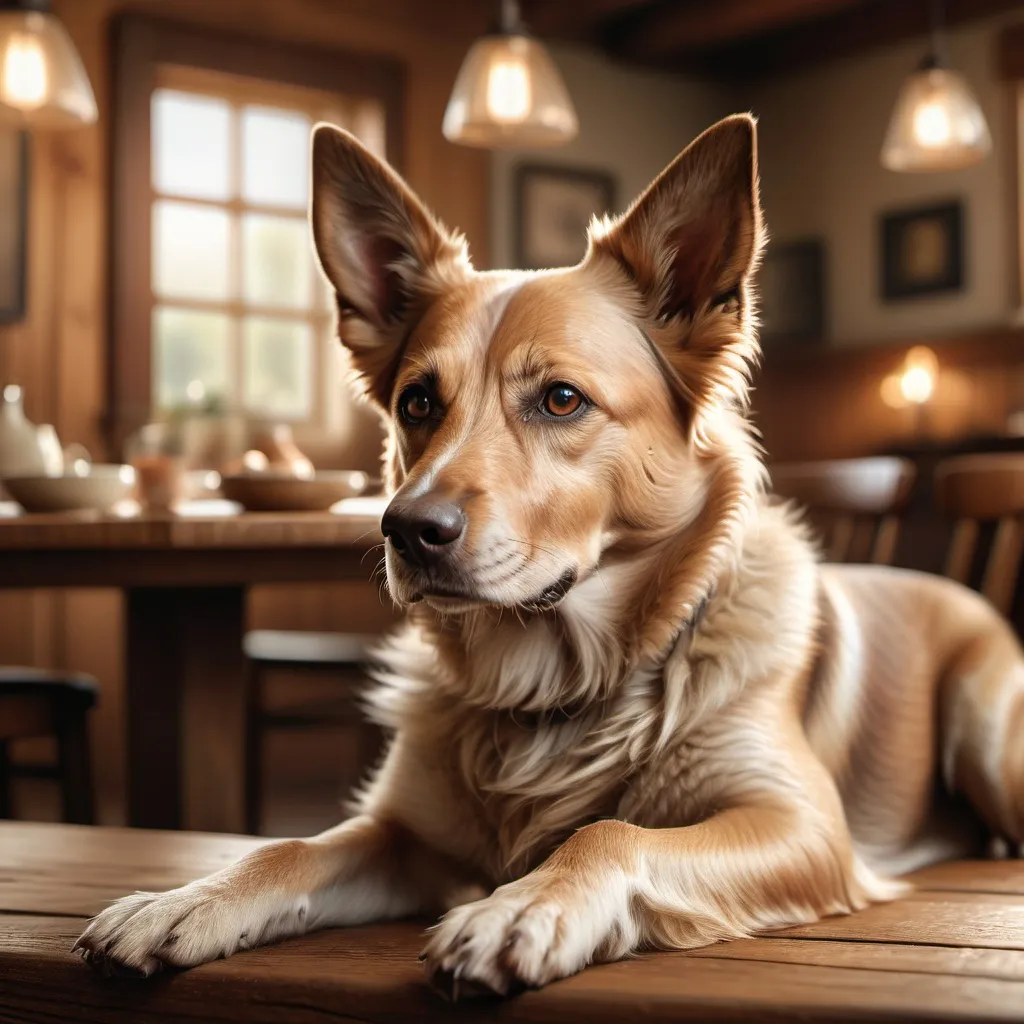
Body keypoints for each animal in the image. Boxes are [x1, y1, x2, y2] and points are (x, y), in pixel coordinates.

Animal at [75, 114, 1024, 999]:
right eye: (418, 403)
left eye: (561, 400)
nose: (405, 530)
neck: (555, 683)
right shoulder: (406, 836)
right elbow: (292, 847)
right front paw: (187, 900)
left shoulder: (800, 825)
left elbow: (612, 831)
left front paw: (525, 906)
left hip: (982, 726)